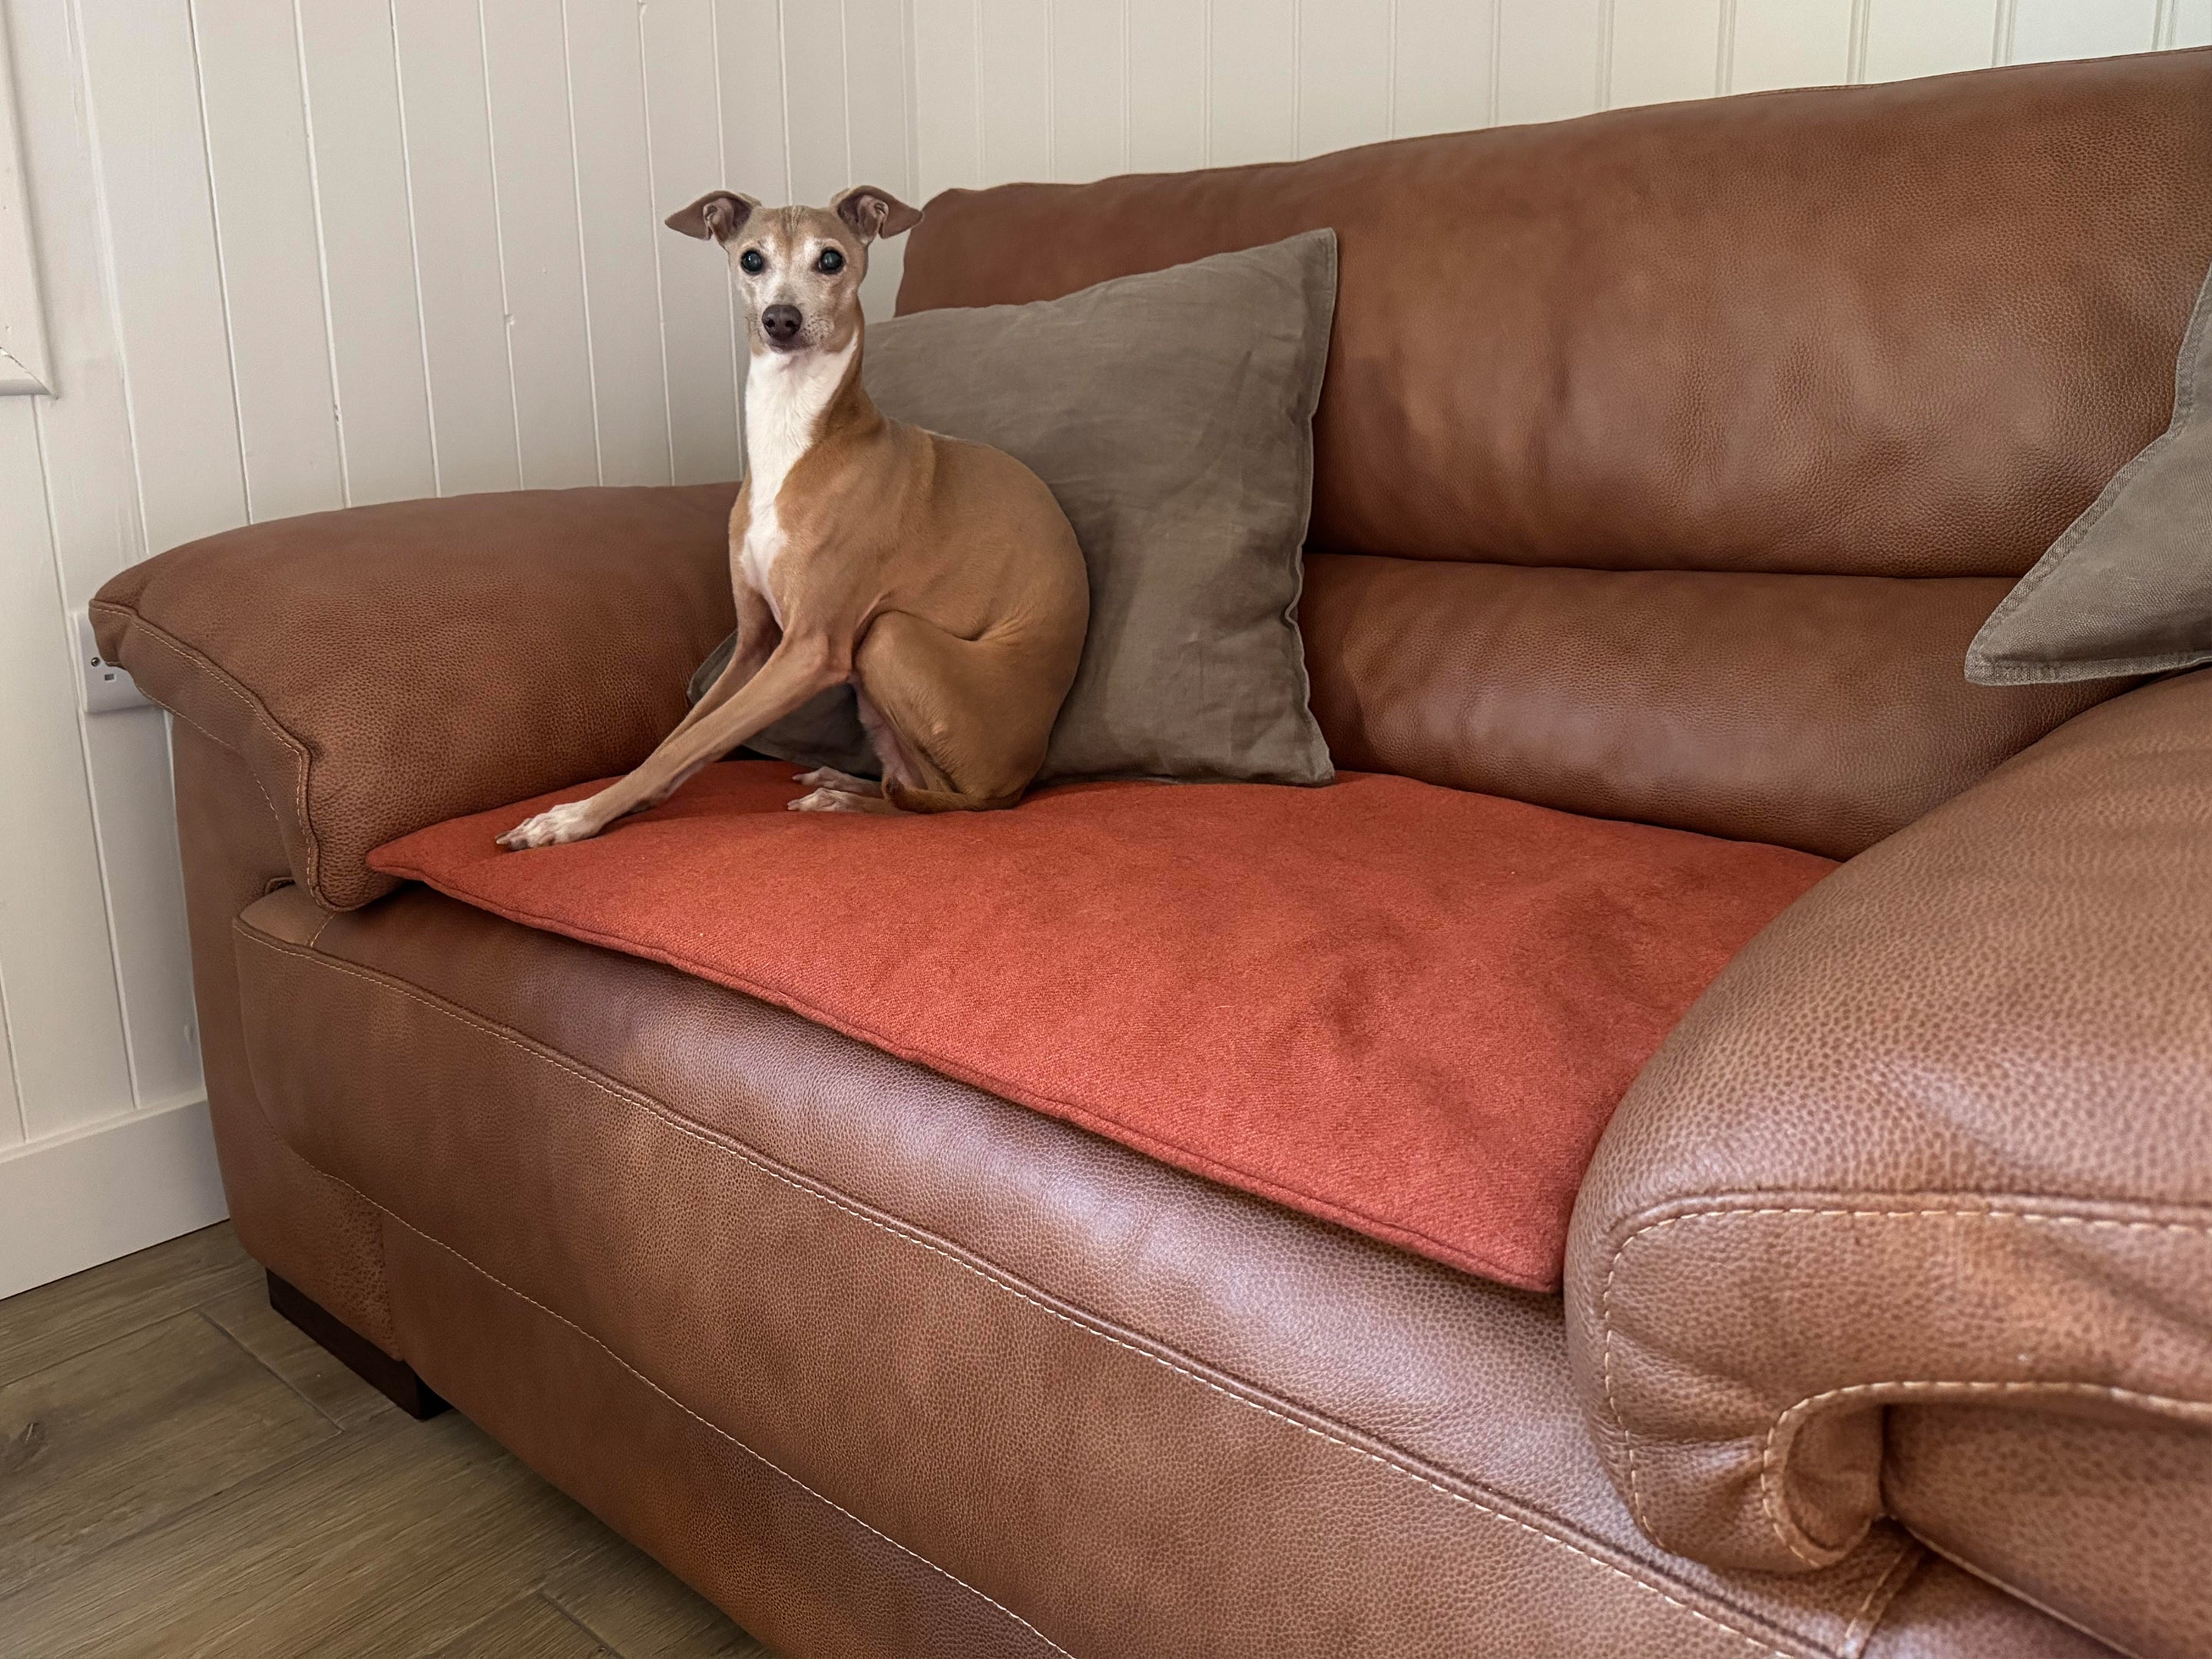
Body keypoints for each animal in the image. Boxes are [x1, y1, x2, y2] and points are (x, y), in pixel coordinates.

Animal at [502, 187, 1088, 849]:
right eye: (751, 259)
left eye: (829, 259)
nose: (779, 319)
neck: (795, 436)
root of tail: (1019, 780)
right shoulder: (756, 646)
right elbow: (679, 738)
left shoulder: (810, 650)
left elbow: (689, 745)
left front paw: (575, 816)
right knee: (911, 784)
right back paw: (841, 783)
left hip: (891, 639)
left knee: (940, 799)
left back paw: (849, 799)